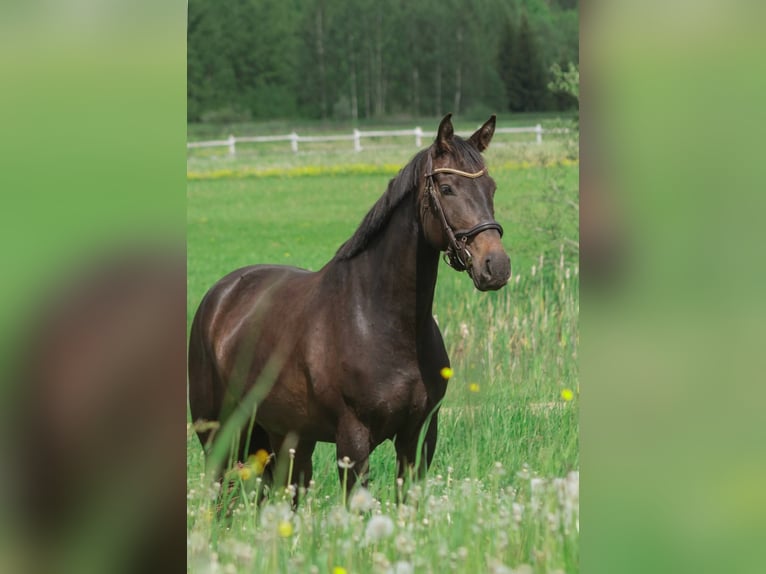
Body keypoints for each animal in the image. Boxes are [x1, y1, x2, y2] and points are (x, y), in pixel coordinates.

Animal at [188, 114, 511, 496]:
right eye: (447, 188)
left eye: (491, 188)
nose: (496, 267)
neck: (377, 319)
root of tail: (219, 296)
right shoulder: (352, 440)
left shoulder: (418, 437)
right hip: (220, 437)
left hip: (287, 437)